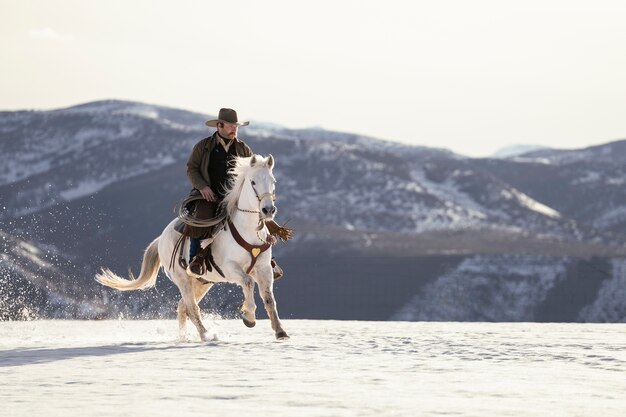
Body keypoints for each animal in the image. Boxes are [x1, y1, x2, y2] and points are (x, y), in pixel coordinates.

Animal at [94, 154, 288, 340]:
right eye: (253, 182)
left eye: (273, 181)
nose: (268, 210)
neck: (247, 230)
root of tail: (161, 239)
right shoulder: (231, 268)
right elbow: (248, 283)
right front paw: (249, 317)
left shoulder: (263, 269)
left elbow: (269, 299)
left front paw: (280, 331)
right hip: (183, 280)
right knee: (191, 308)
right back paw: (205, 335)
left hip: (202, 282)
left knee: (183, 307)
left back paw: (184, 336)